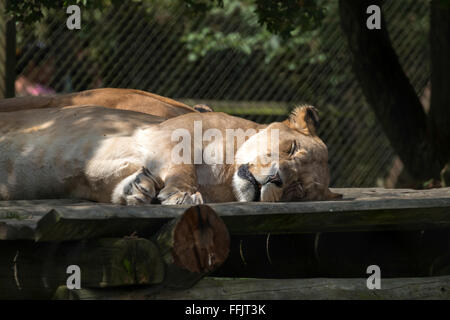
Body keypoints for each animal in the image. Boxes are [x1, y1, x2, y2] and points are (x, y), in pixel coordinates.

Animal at [0, 103, 340, 205]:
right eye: (291, 149)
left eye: (298, 190)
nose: (276, 180)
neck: (223, 177)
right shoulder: (166, 136)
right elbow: (181, 165)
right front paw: (183, 195)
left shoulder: (93, 179)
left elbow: (114, 186)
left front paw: (138, 189)